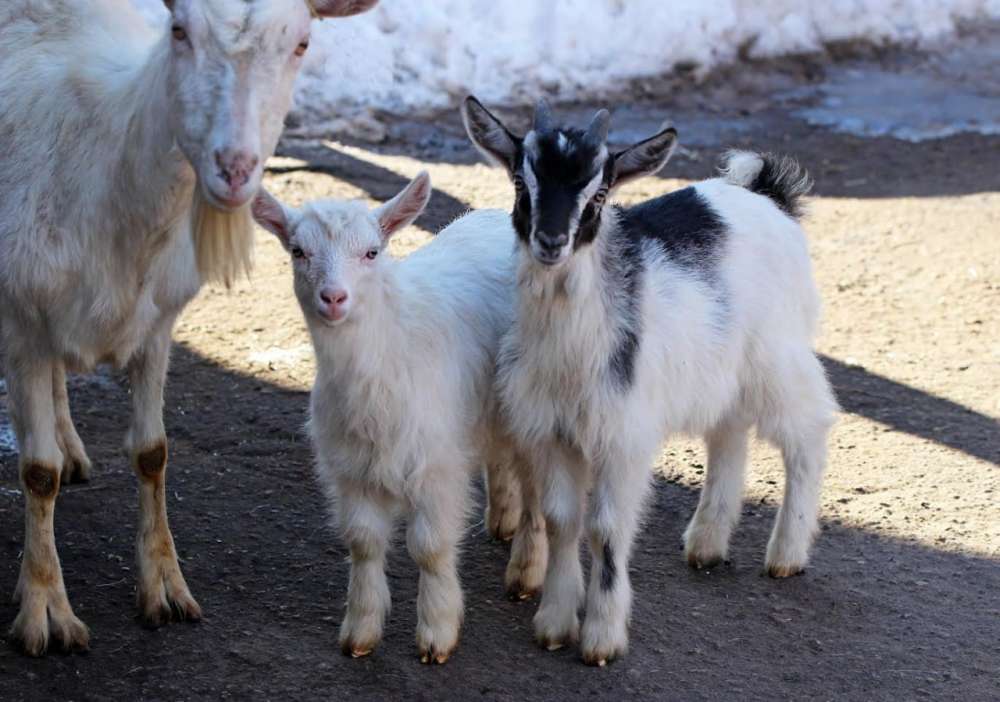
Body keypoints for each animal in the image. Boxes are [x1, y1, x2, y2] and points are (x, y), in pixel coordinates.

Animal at [0, 1, 378, 660]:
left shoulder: (157, 324)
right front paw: (45, 608)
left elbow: (153, 453)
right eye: (179, 31)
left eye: (302, 43)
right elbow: (36, 473)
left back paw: (72, 445)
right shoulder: (23, 319)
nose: (235, 169)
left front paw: (165, 587)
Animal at [464, 97, 840, 664]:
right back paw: (706, 542)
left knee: (808, 431)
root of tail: (767, 193)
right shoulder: (554, 433)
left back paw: (787, 553)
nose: (551, 241)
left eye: (599, 193)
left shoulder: (623, 438)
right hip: (721, 367)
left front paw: (601, 638)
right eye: (519, 182)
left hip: (777, 356)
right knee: (729, 435)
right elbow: (561, 521)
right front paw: (553, 623)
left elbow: (606, 530)